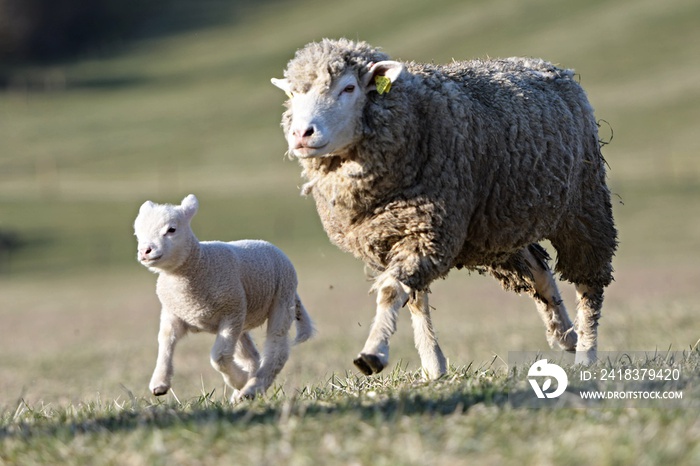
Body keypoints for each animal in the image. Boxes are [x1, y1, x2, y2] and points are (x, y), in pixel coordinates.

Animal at [134, 193, 314, 400]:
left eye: (171, 229)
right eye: (137, 234)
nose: (145, 251)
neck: (199, 263)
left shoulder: (230, 313)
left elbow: (218, 357)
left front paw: (240, 380)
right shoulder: (174, 313)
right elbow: (165, 341)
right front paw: (159, 383)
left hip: (281, 297)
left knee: (277, 349)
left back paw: (251, 388)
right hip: (243, 318)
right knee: (251, 356)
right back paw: (242, 391)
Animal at [270, 38, 616, 376]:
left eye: (348, 88)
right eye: (293, 93)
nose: (301, 134)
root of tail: (545, 64)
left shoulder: (426, 228)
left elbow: (391, 292)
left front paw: (373, 353)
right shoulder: (400, 233)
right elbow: (414, 299)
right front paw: (433, 365)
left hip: (583, 204)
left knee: (589, 284)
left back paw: (585, 351)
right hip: (498, 224)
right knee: (538, 270)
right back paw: (565, 335)